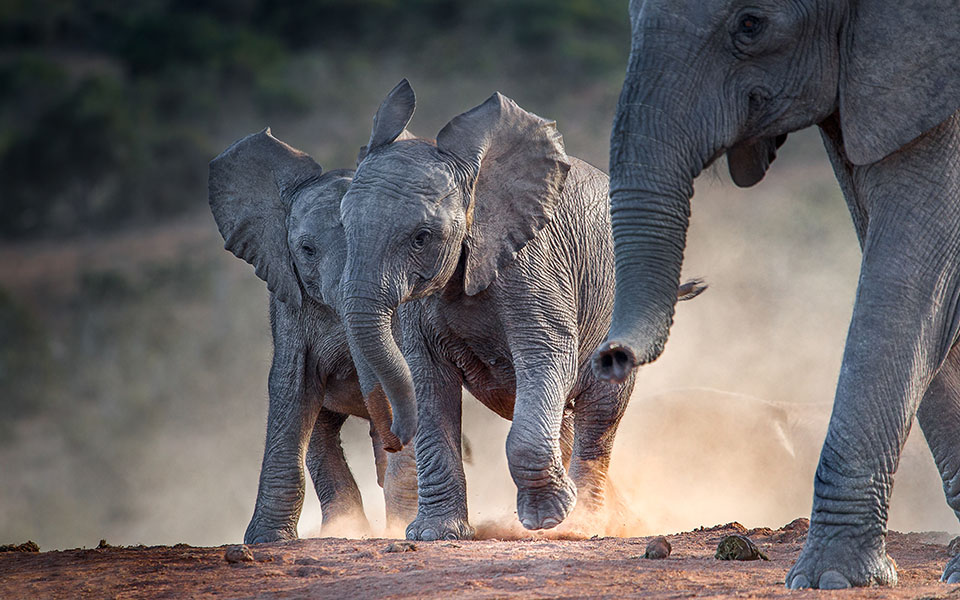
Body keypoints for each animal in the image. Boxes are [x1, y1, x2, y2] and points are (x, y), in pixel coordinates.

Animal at [208, 129, 418, 540]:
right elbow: (292, 387)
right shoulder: (289, 300)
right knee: (320, 433)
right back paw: (344, 527)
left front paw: (404, 525)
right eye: (306, 250)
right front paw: (267, 540)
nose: (394, 437)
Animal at [340, 79, 704, 540]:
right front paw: (434, 535)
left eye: (422, 237)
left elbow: (545, 355)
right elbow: (429, 381)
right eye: (343, 226)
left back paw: (584, 523)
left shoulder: (533, 263)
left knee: (598, 416)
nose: (392, 437)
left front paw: (547, 520)